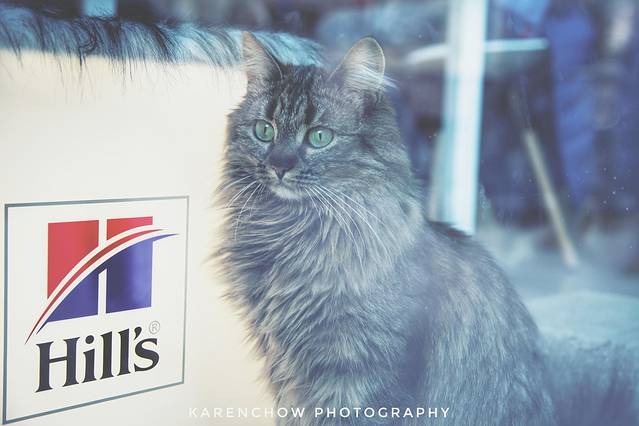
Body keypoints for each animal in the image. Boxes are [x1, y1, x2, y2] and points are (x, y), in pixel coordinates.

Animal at [215, 33, 636, 425]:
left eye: (320, 137)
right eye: (264, 131)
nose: (279, 166)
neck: (290, 234)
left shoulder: (360, 375)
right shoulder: (284, 363)